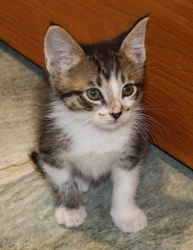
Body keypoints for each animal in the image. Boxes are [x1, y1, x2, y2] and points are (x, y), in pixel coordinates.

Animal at [30, 16, 149, 233]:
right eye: (93, 93)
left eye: (127, 89)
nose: (117, 113)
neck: (96, 132)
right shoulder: (49, 148)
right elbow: (63, 182)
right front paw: (71, 210)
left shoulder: (133, 150)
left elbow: (126, 186)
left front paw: (127, 215)